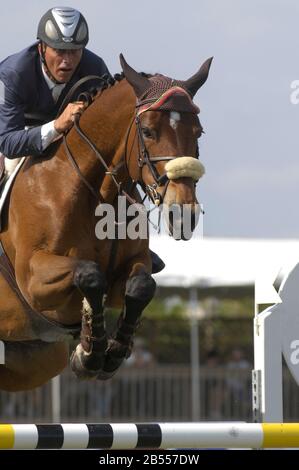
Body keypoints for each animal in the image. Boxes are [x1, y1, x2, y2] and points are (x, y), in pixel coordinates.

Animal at [0, 54, 213, 392]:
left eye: (198, 132)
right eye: (148, 132)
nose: (183, 214)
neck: (97, 194)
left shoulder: (132, 266)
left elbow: (141, 286)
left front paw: (110, 353)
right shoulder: (33, 280)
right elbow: (89, 273)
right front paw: (88, 353)